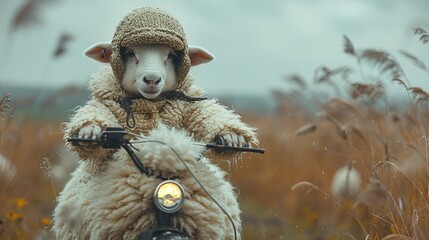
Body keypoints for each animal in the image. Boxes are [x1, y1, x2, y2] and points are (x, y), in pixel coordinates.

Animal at [51, 6, 256, 239]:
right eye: (130, 53)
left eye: (171, 55)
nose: (151, 80)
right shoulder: (106, 103)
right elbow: (96, 111)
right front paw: (90, 130)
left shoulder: (190, 102)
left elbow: (207, 112)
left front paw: (231, 136)